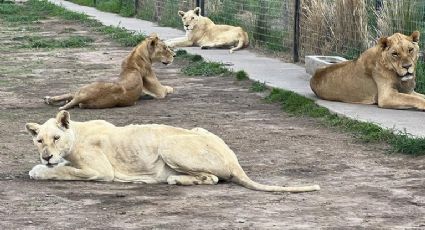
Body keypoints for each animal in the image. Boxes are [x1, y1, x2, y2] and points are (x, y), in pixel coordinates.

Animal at [25, 110, 318, 193]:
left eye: (56, 138)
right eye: (39, 140)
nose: (46, 155)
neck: (76, 134)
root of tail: (235, 161)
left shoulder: (101, 171)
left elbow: (64, 172)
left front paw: (40, 170)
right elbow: (64, 168)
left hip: (168, 144)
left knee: (212, 178)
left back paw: (174, 179)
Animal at [44, 33, 174, 110]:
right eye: (165, 48)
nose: (175, 55)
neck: (134, 57)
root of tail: (82, 97)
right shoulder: (159, 91)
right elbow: (168, 88)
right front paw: (171, 88)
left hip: (81, 92)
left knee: (70, 96)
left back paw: (49, 99)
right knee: (70, 95)